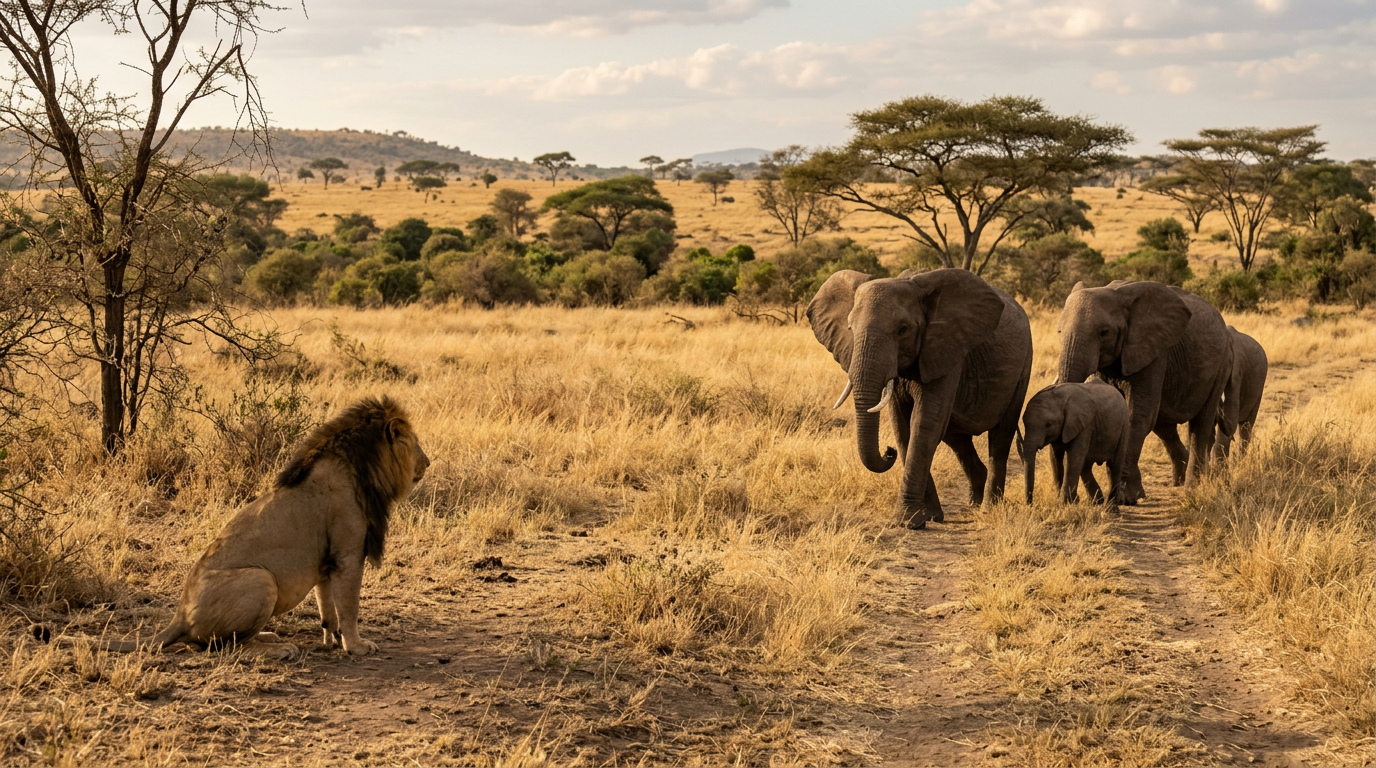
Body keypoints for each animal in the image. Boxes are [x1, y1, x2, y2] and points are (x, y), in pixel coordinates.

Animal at [61, 396, 429, 660]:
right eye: (415, 442)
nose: (428, 462)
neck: (359, 467)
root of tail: (179, 615)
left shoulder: (328, 563)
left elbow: (328, 608)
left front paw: (330, 638)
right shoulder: (348, 555)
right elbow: (349, 606)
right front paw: (356, 646)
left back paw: (268, 634)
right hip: (260, 579)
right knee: (225, 646)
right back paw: (279, 648)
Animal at [808, 268, 1033, 528]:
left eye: (902, 330)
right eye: (850, 329)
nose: (888, 452)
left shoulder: (946, 349)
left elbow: (924, 423)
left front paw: (909, 521)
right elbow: (902, 428)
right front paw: (929, 517)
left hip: (1023, 366)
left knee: (1001, 436)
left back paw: (987, 509)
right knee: (957, 439)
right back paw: (975, 502)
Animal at [1056, 280, 1232, 502]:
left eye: (1104, 332)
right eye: (1059, 332)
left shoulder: (1155, 351)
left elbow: (1137, 414)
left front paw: (1125, 498)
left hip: (1221, 364)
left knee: (1201, 423)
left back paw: (1192, 488)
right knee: (1164, 426)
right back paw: (1180, 479)